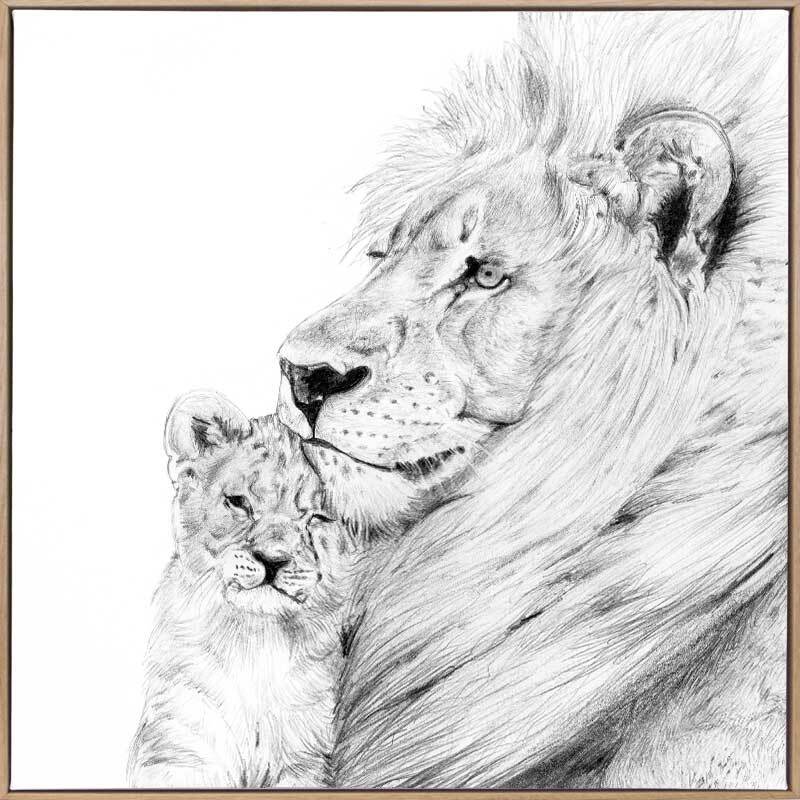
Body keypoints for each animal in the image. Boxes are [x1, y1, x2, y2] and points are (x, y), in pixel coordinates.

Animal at [129, 393, 355, 788]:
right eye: (238, 502)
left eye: (317, 518)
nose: (272, 560)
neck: (256, 642)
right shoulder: (178, 745)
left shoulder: (305, 759)